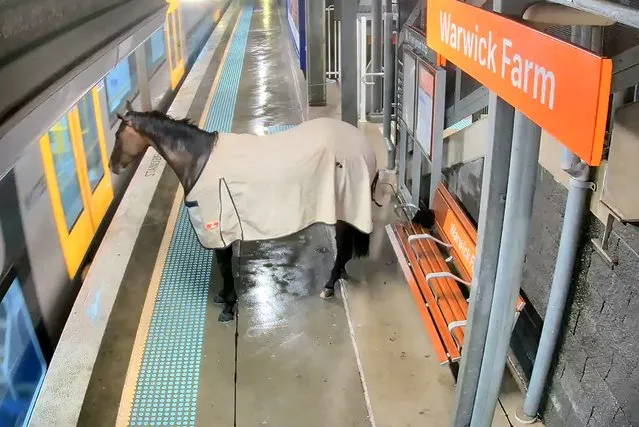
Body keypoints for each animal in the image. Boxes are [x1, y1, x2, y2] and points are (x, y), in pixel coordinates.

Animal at [107, 102, 382, 322]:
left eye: (119, 135)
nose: (112, 167)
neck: (198, 160)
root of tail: (363, 145)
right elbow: (225, 267)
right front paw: (223, 297)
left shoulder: (218, 231)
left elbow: (224, 267)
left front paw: (228, 307)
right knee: (344, 246)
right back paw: (339, 274)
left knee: (343, 246)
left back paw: (329, 285)